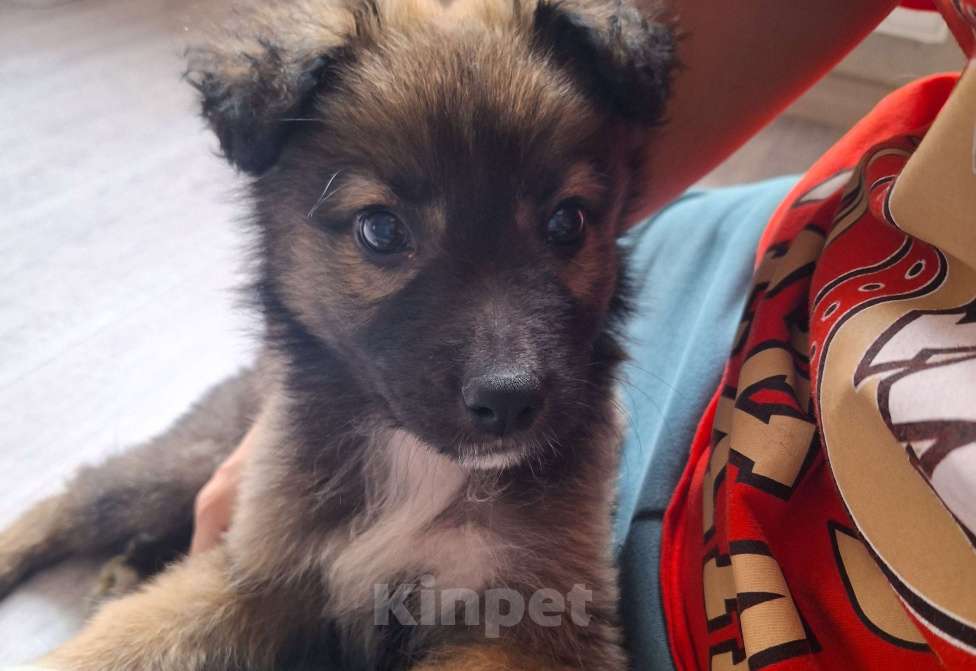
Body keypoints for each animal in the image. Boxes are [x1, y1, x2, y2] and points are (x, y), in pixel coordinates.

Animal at [0, 1, 674, 668]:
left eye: (567, 221)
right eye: (381, 230)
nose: (509, 400)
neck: (414, 457)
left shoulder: (533, 618)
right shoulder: (263, 569)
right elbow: (122, 641)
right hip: (186, 460)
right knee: (73, 496)